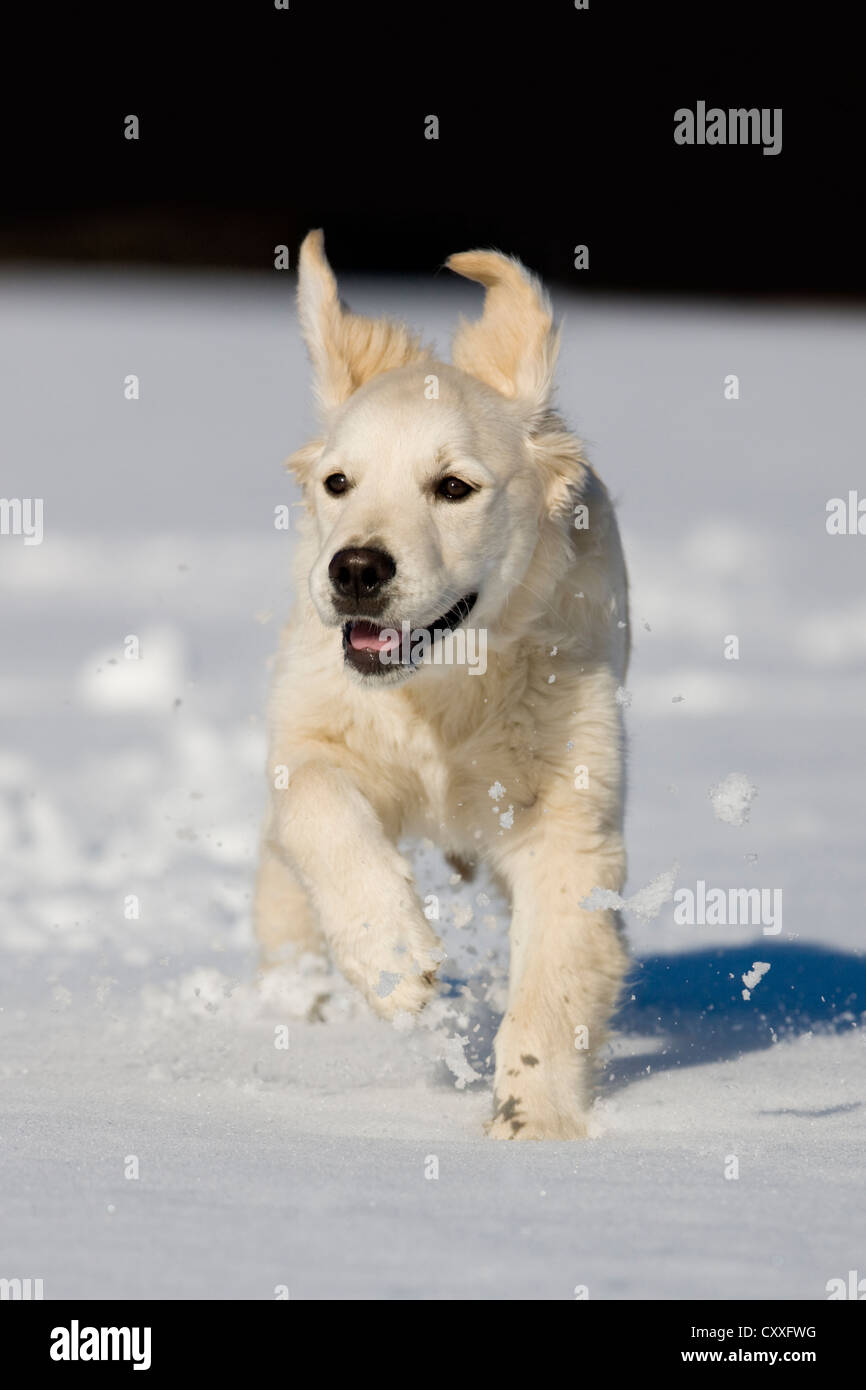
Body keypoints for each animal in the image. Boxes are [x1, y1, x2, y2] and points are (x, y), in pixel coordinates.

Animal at [255, 230, 631, 1139]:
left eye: (453, 487)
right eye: (339, 483)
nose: (355, 570)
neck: (446, 689)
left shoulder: (568, 816)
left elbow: (557, 977)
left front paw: (536, 1119)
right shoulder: (313, 734)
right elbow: (318, 808)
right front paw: (392, 960)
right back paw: (294, 999)